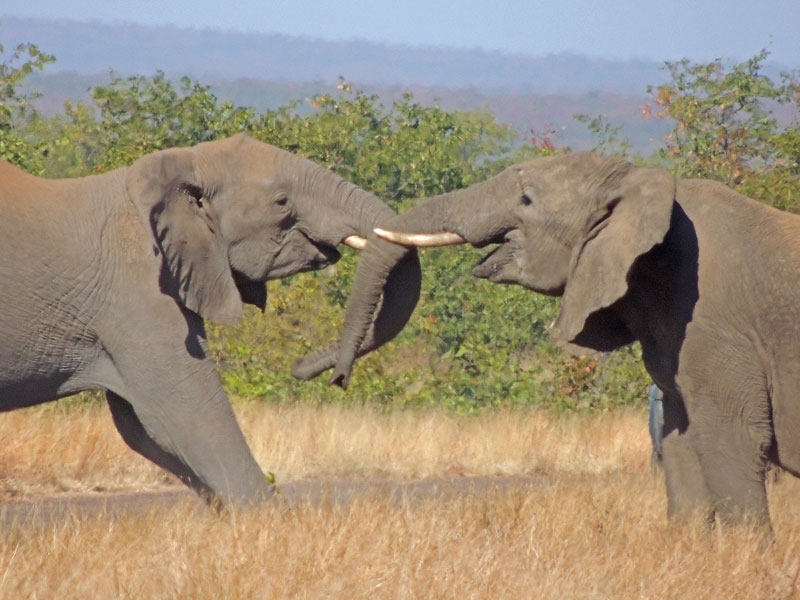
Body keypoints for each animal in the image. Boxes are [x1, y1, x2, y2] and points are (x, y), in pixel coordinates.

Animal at [0, 133, 420, 505]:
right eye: (282, 201)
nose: (330, 376)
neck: (184, 164)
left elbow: (143, 430)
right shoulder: (138, 293)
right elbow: (188, 418)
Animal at [309, 151, 800, 529]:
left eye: (526, 199)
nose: (338, 379)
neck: (638, 186)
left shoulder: (715, 327)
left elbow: (732, 439)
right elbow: (681, 442)